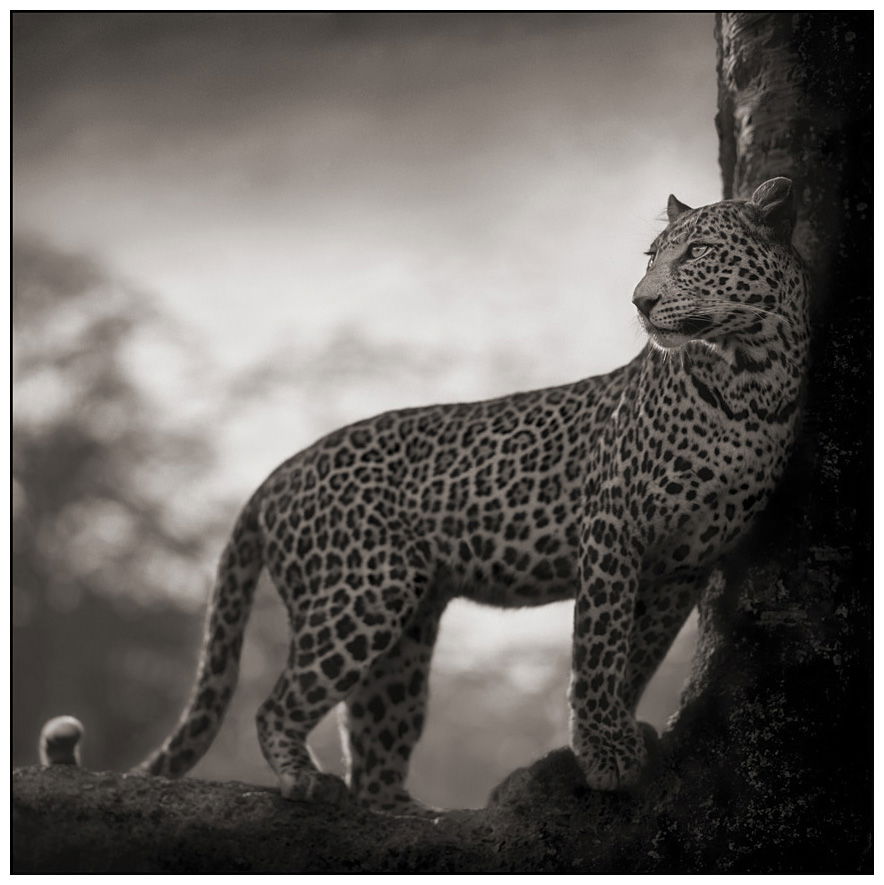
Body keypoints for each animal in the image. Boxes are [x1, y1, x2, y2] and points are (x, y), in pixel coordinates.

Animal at [45, 178, 812, 816]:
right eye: (652, 257)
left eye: (699, 253)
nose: (641, 300)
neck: (752, 380)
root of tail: (278, 471)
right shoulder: (612, 531)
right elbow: (596, 652)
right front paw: (603, 752)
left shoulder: (683, 563)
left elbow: (638, 654)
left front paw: (618, 731)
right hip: (362, 592)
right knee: (277, 705)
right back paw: (303, 780)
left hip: (406, 629)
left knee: (375, 734)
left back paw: (399, 810)